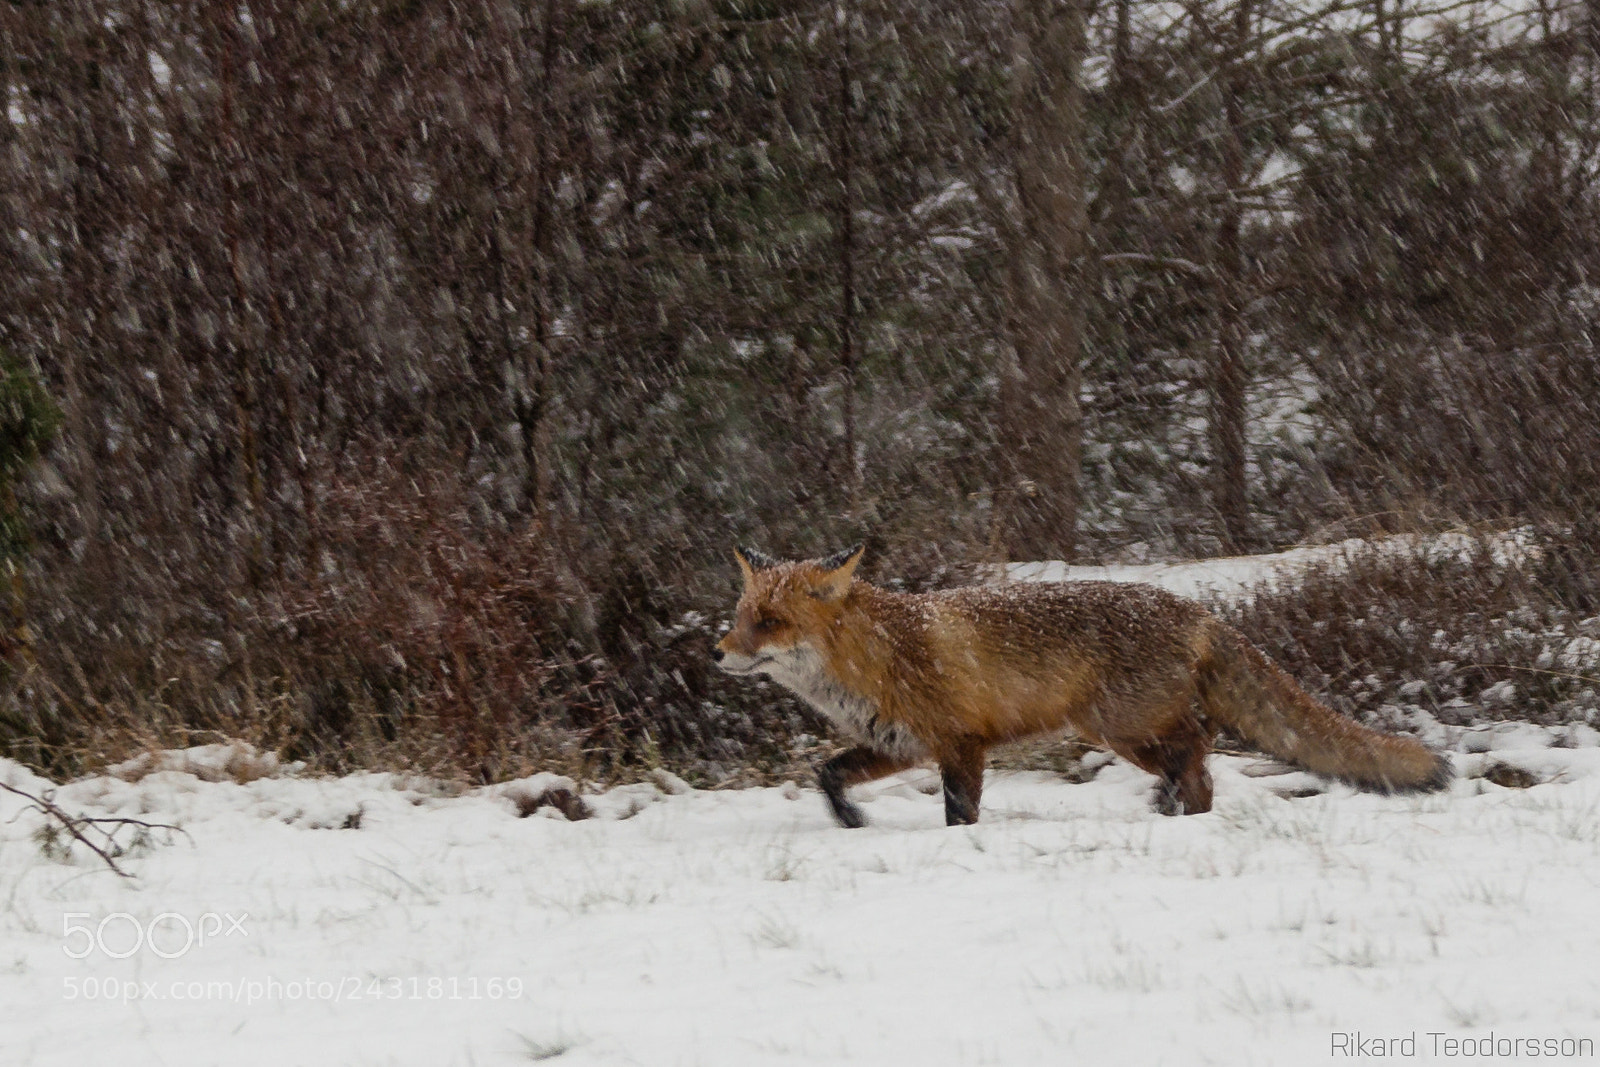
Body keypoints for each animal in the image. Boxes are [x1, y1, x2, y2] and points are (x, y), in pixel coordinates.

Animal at [713, 543, 1452, 828]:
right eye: (741, 615)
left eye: (770, 622)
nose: (718, 652)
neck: (884, 654)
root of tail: (1199, 610)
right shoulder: (900, 744)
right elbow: (827, 773)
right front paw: (851, 820)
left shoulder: (960, 744)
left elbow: (959, 813)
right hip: (1121, 732)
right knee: (1201, 763)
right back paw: (1179, 811)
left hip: (1120, 725)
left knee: (1199, 746)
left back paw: (1173, 805)